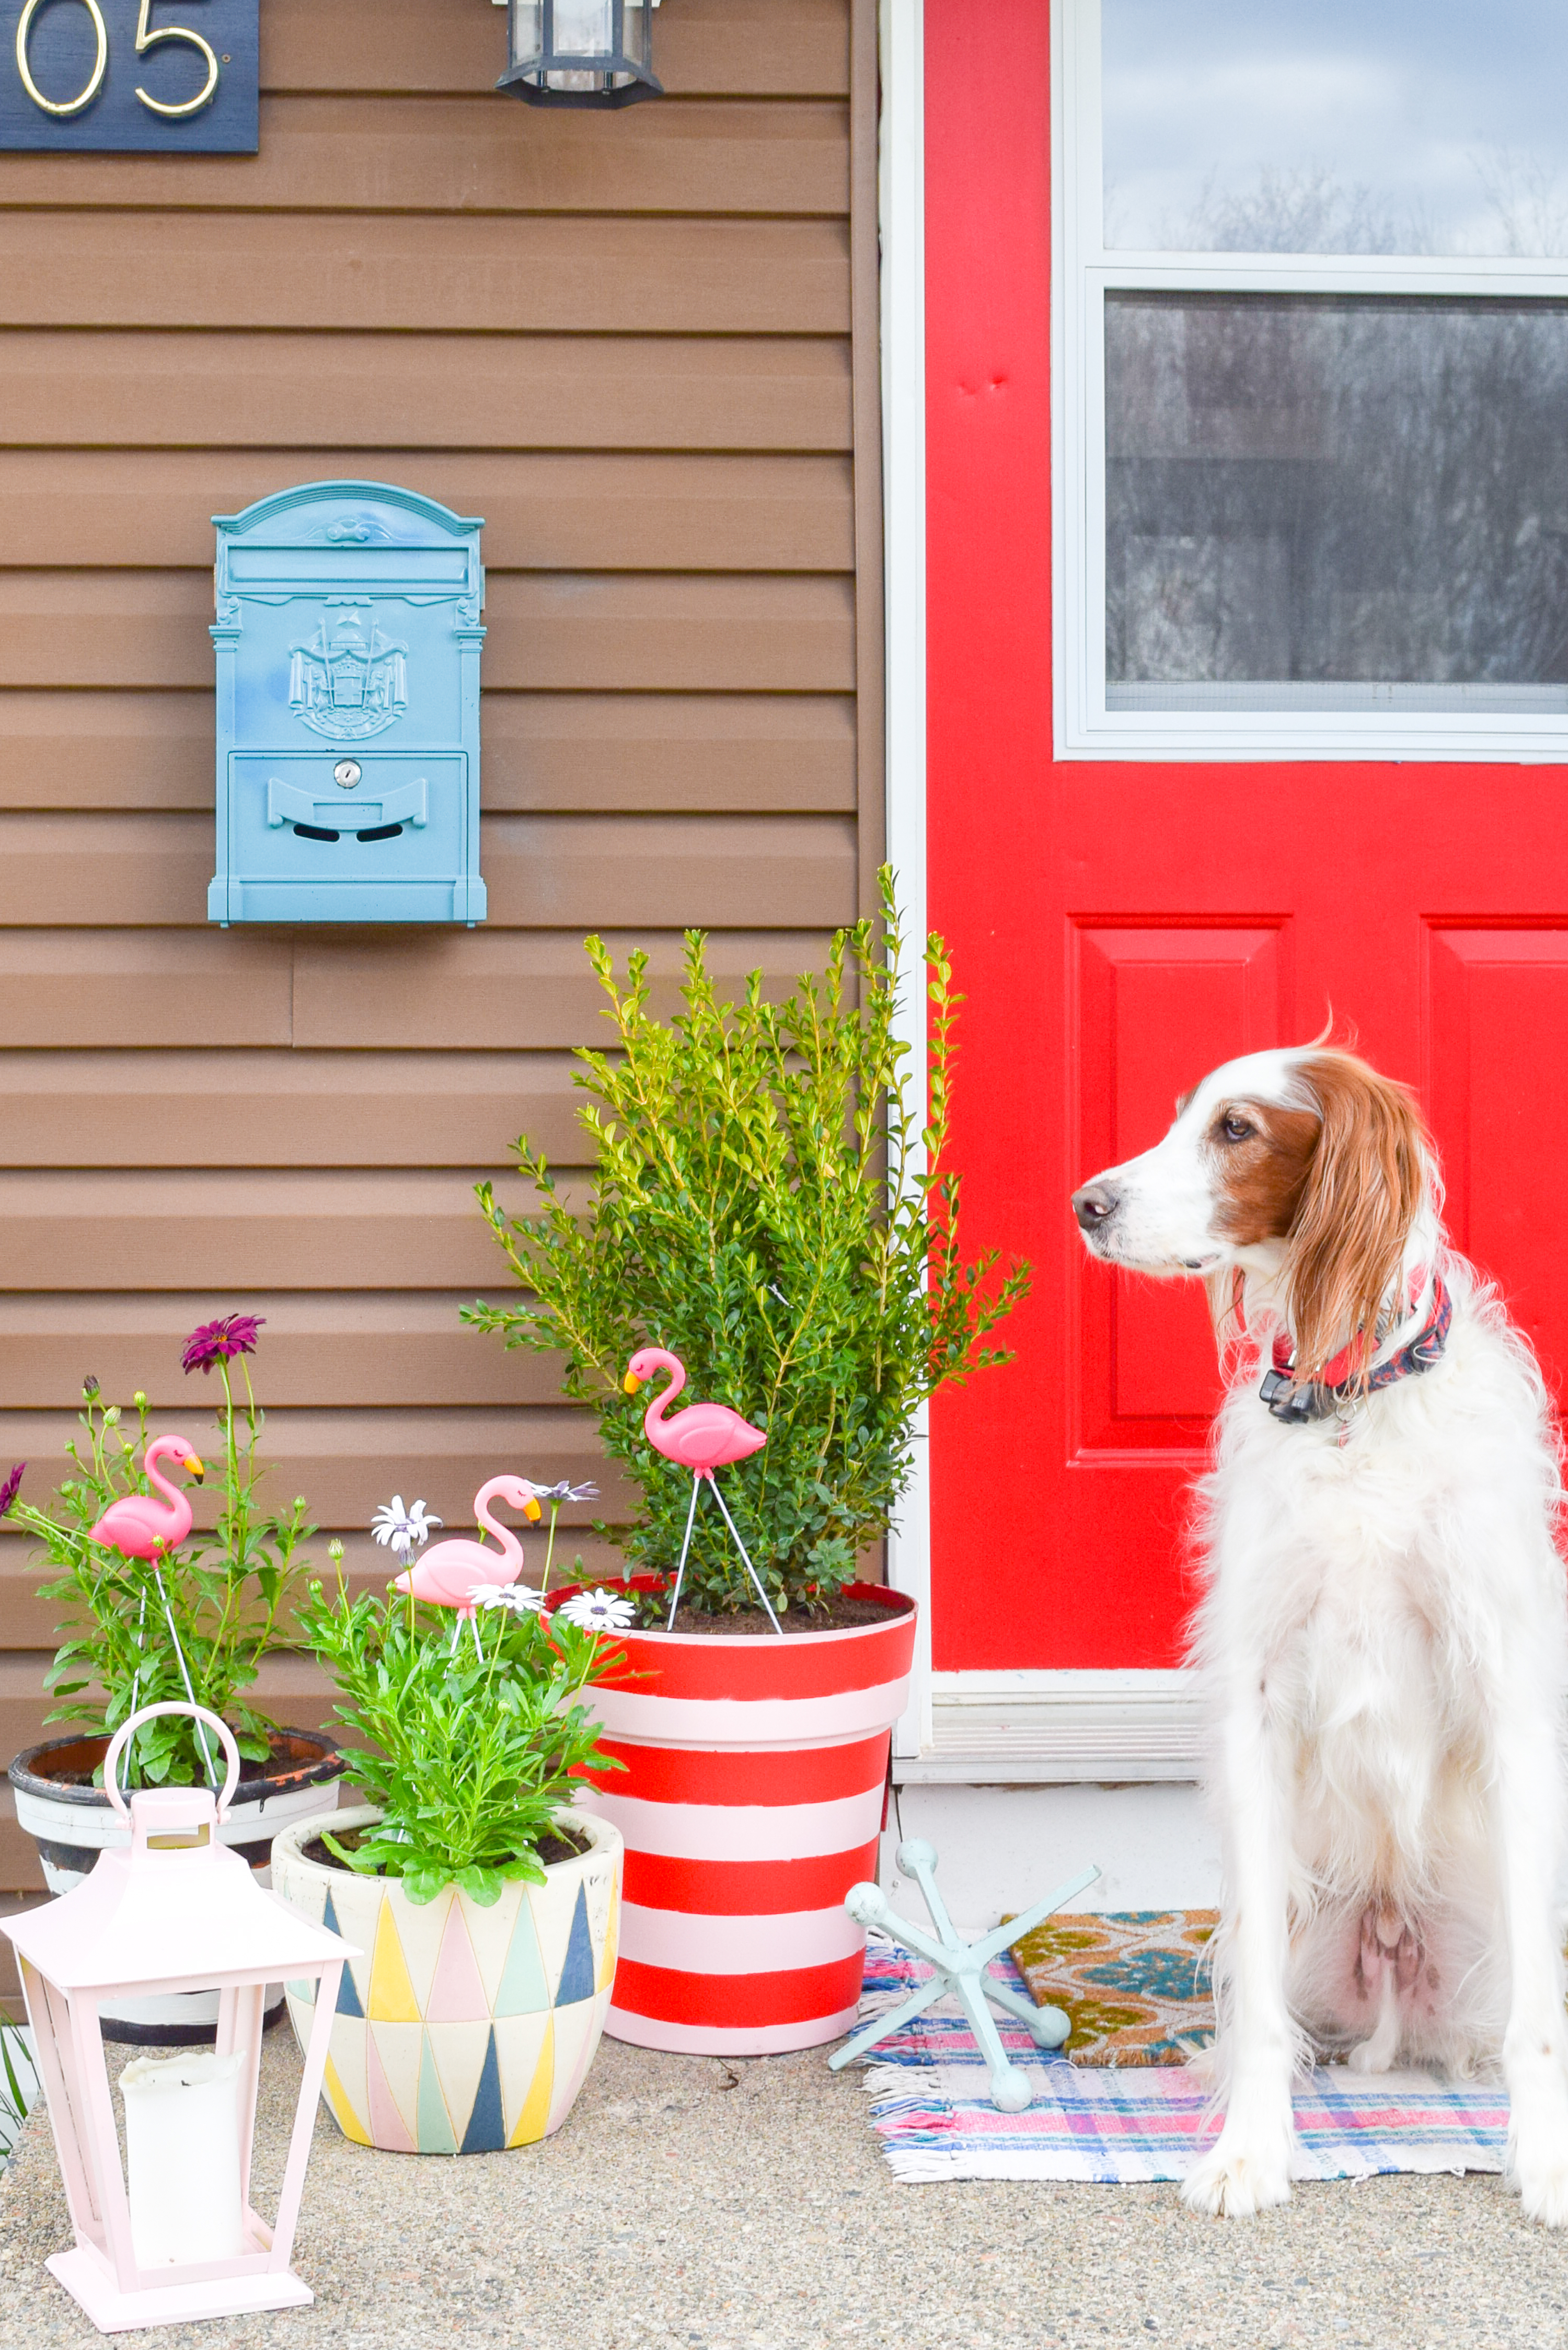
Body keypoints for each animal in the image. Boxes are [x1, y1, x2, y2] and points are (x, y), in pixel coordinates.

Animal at [1071, 1048, 1568, 2218]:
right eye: (1181, 1117)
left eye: (1237, 1128)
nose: (1087, 1206)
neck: (1353, 1400)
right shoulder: (1255, 1707)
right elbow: (1258, 2018)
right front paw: (1251, 2153)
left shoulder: (1509, 1699)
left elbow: (1538, 2025)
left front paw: (1545, 2161)